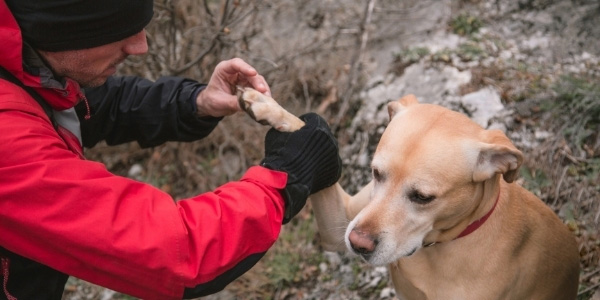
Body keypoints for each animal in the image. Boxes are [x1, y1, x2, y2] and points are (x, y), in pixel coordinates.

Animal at [239, 89, 580, 300]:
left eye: (423, 197)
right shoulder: (341, 223)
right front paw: (267, 106)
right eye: (376, 173)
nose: (358, 244)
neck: (442, 245)